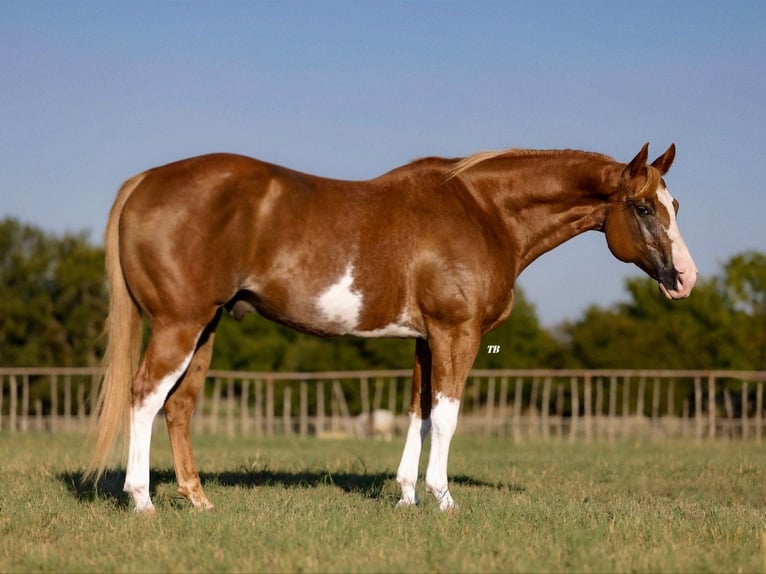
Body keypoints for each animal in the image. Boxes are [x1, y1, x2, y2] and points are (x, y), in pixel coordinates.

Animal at [87, 143, 700, 512]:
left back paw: (198, 501)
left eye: (675, 204)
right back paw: (141, 499)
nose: (685, 279)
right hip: (179, 325)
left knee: (179, 406)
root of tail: (145, 181)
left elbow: (418, 415)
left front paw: (407, 496)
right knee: (144, 397)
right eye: (644, 208)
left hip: (206, 329)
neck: (483, 211)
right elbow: (447, 417)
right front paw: (443, 498)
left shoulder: (425, 340)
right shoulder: (457, 334)